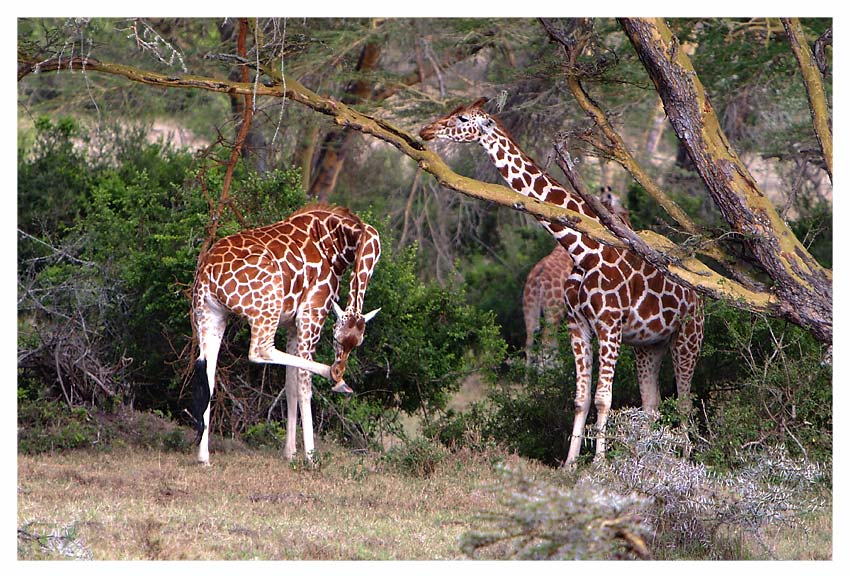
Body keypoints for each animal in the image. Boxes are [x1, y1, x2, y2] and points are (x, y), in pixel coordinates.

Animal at [192, 204, 380, 464]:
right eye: (335, 337)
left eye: (358, 343)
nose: (340, 367)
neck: (342, 243)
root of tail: (207, 273)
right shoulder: (312, 314)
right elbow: (304, 385)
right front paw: (310, 456)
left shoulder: (291, 325)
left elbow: (290, 384)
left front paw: (290, 452)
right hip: (267, 306)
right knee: (260, 350)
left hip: (211, 315)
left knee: (208, 373)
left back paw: (204, 457)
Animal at [516, 186, 628, 364]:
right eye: (615, 200)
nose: (626, 211)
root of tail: (538, 276)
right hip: (552, 310)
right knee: (547, 342)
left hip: (529, 308)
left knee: (530, 343)